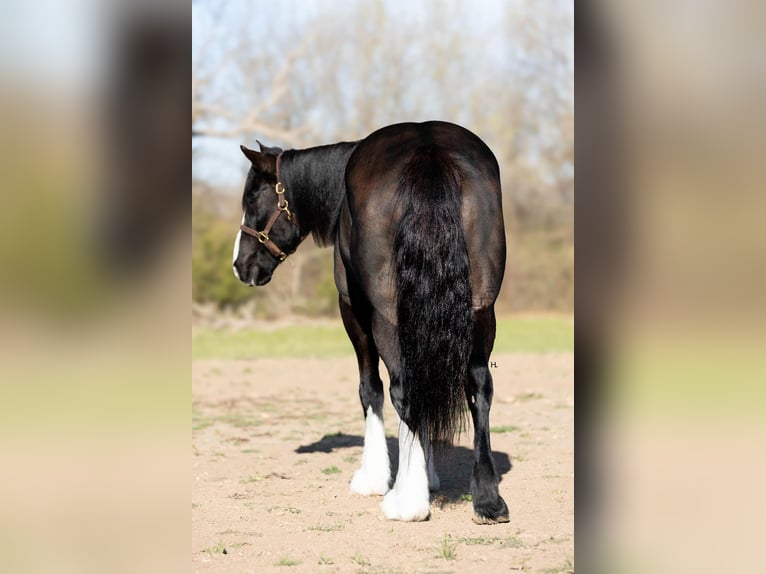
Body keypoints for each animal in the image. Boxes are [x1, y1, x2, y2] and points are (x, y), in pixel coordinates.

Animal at [232, 121, 508, 524]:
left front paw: (376, 477)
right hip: (482, 309)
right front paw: (427, 473)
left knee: (402, 389)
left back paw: (407, 501)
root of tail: (428, 150)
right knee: (479, 388)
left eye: (252, 199)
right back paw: (487, 499)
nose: (240, 264)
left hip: (387, 314)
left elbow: (370, 389)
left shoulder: (351, 308)